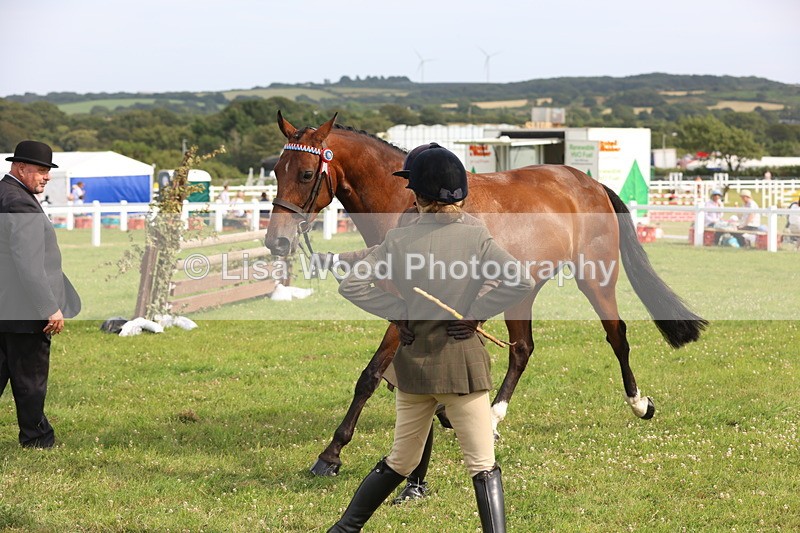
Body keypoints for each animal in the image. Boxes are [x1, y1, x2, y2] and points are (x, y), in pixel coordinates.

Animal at [264, 112, 707, 476]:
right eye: (275, 171)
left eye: (306, 174)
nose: (276, 242)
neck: (406, 205)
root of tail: (590, 183)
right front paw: (444, 415)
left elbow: (370, 375)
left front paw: (331, 454)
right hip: (521, 291)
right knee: (522, 349)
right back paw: (492, 417)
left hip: (594, 279)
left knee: (617, 336)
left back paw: (638, 403)